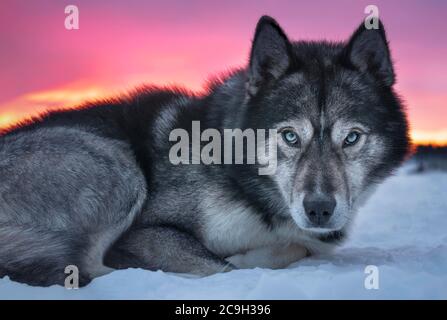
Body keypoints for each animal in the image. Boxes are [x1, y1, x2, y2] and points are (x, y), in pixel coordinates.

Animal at [0, 16, 410, 286]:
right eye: (290, 137)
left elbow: (294, 247)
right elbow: (225, 266)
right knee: (88, 267)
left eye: (352, 137)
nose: (319, 209)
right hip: (118, 167)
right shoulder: (147, 233)